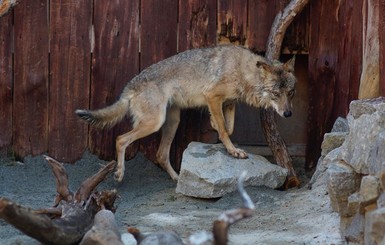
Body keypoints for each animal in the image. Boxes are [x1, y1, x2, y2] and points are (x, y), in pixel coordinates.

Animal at [76, 45, 296, 182]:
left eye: (290, 93)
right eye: (276, 94)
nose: (288, 114)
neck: (243, 71)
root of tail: (129, 86)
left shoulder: (228, 102)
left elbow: (229, 127)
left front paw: (215, 126)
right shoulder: (212, 96)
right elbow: (225, 130)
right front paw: (233, 151)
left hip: (172, 122)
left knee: (161, 155)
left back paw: (176, 178)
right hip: (154, 123)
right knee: (121, 139)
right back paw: (119, 174)